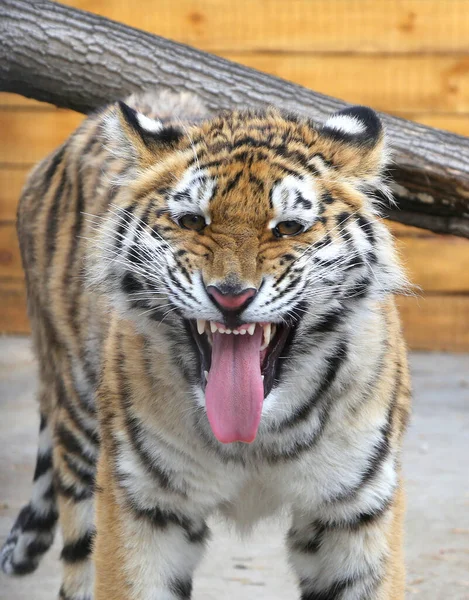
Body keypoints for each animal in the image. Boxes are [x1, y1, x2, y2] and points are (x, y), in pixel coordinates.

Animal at [0, 89, 410, 600]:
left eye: (288, 227)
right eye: (193, 221)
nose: (230, 295)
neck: (256, 438)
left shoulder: (353, 513)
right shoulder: (141, 505)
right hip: (79, 421)